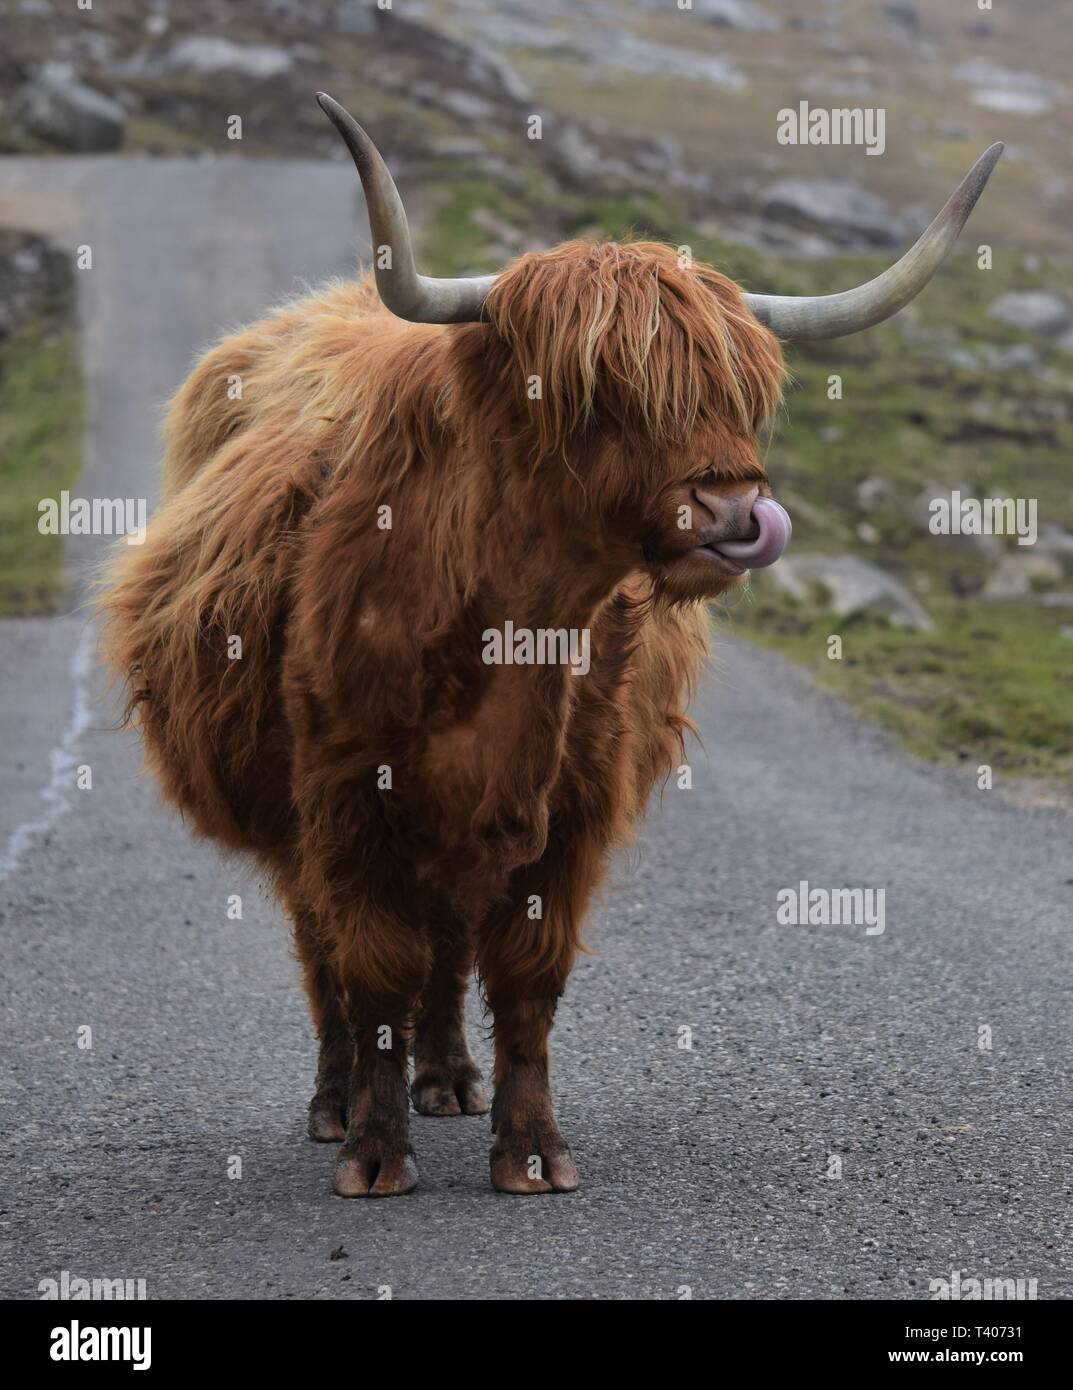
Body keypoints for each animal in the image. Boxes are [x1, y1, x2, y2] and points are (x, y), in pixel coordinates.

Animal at [100, 95, 995, 1195]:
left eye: (738, 390)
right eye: (593, 391)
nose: (735, 514)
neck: (511, 636)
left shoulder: (571, 807)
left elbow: (525, 982)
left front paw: (529, 1151)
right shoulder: (346, 795)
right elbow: (371, 964)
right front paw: (373, 1153)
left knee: (445, 949)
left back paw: (448, 1078)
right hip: (289, 816)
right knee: (326, 954)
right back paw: (335, 1100)